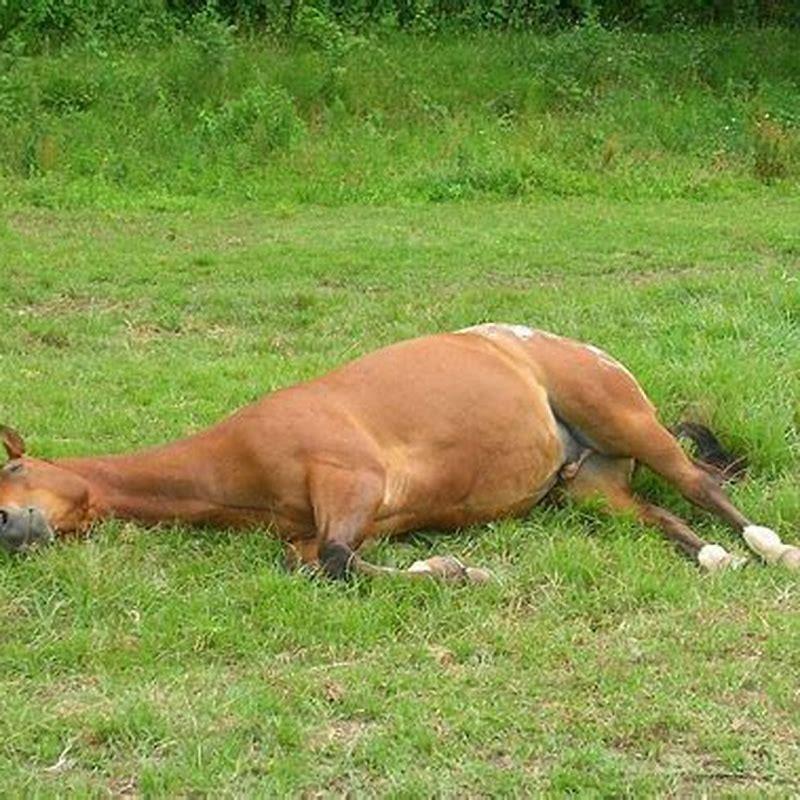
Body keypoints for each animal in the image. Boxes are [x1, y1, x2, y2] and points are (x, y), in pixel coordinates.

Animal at [1, 322, 800, 580]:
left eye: (11, 466)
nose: (9, 527)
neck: (234, 462)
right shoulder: (315, 529)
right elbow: (323, 563)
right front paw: (449, 567)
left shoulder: (351, 483)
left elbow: (334, 563)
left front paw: (459, 571)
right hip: (590, 487)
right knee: (666, 517)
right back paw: (714, 558)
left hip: (627, 421)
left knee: (700, 485)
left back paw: (772, 549)